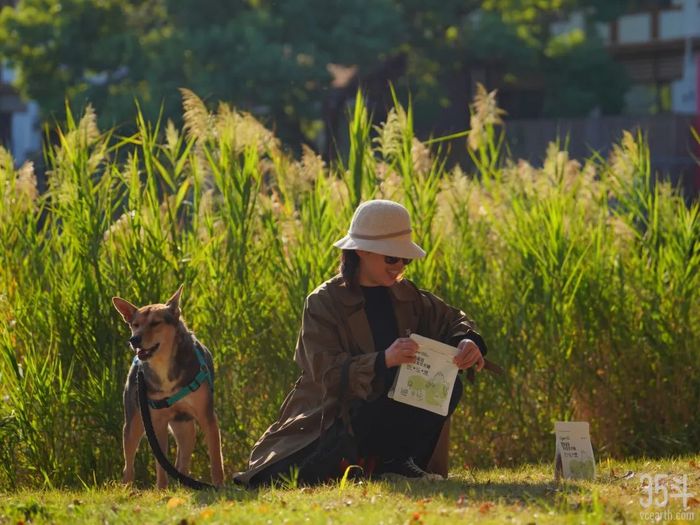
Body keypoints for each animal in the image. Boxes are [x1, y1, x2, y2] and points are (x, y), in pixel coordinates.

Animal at [112, 286, 223, 488]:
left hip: (186, 429)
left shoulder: (207, 417)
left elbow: (216, 459)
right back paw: (128, 488)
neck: (164, 365)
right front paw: (162, 489)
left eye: (156, 323)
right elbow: (160, 465)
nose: (134, 339)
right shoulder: (157, 423)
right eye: (135, 324)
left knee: (182, 463)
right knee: (128, 465)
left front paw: (219, 486)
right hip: (133, 423)